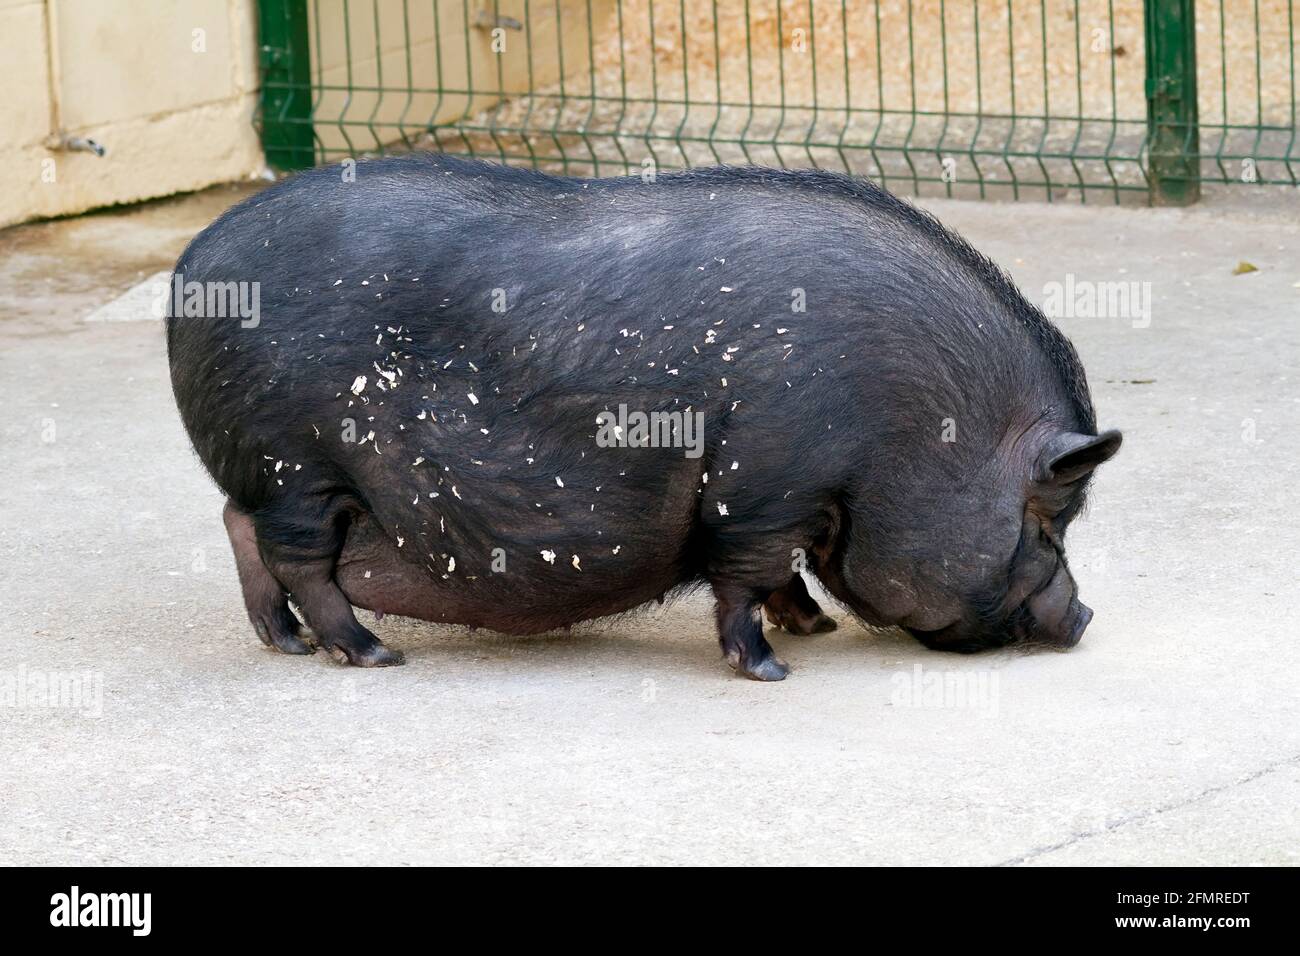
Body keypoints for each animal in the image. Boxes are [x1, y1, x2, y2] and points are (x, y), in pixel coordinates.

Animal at [167, 154, 1121, 681]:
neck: (907, 429)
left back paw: (285, 646)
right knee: (301, 561)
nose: (1082, 619)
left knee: (238, 527)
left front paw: (814, 628)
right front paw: (773, 669)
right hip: (298, 466)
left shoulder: (795, 500)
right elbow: (747, 574)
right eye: (1047, 522)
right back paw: (367, 654)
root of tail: (192, 270)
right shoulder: (765, 486)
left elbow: (786, 571)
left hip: (274, 477)